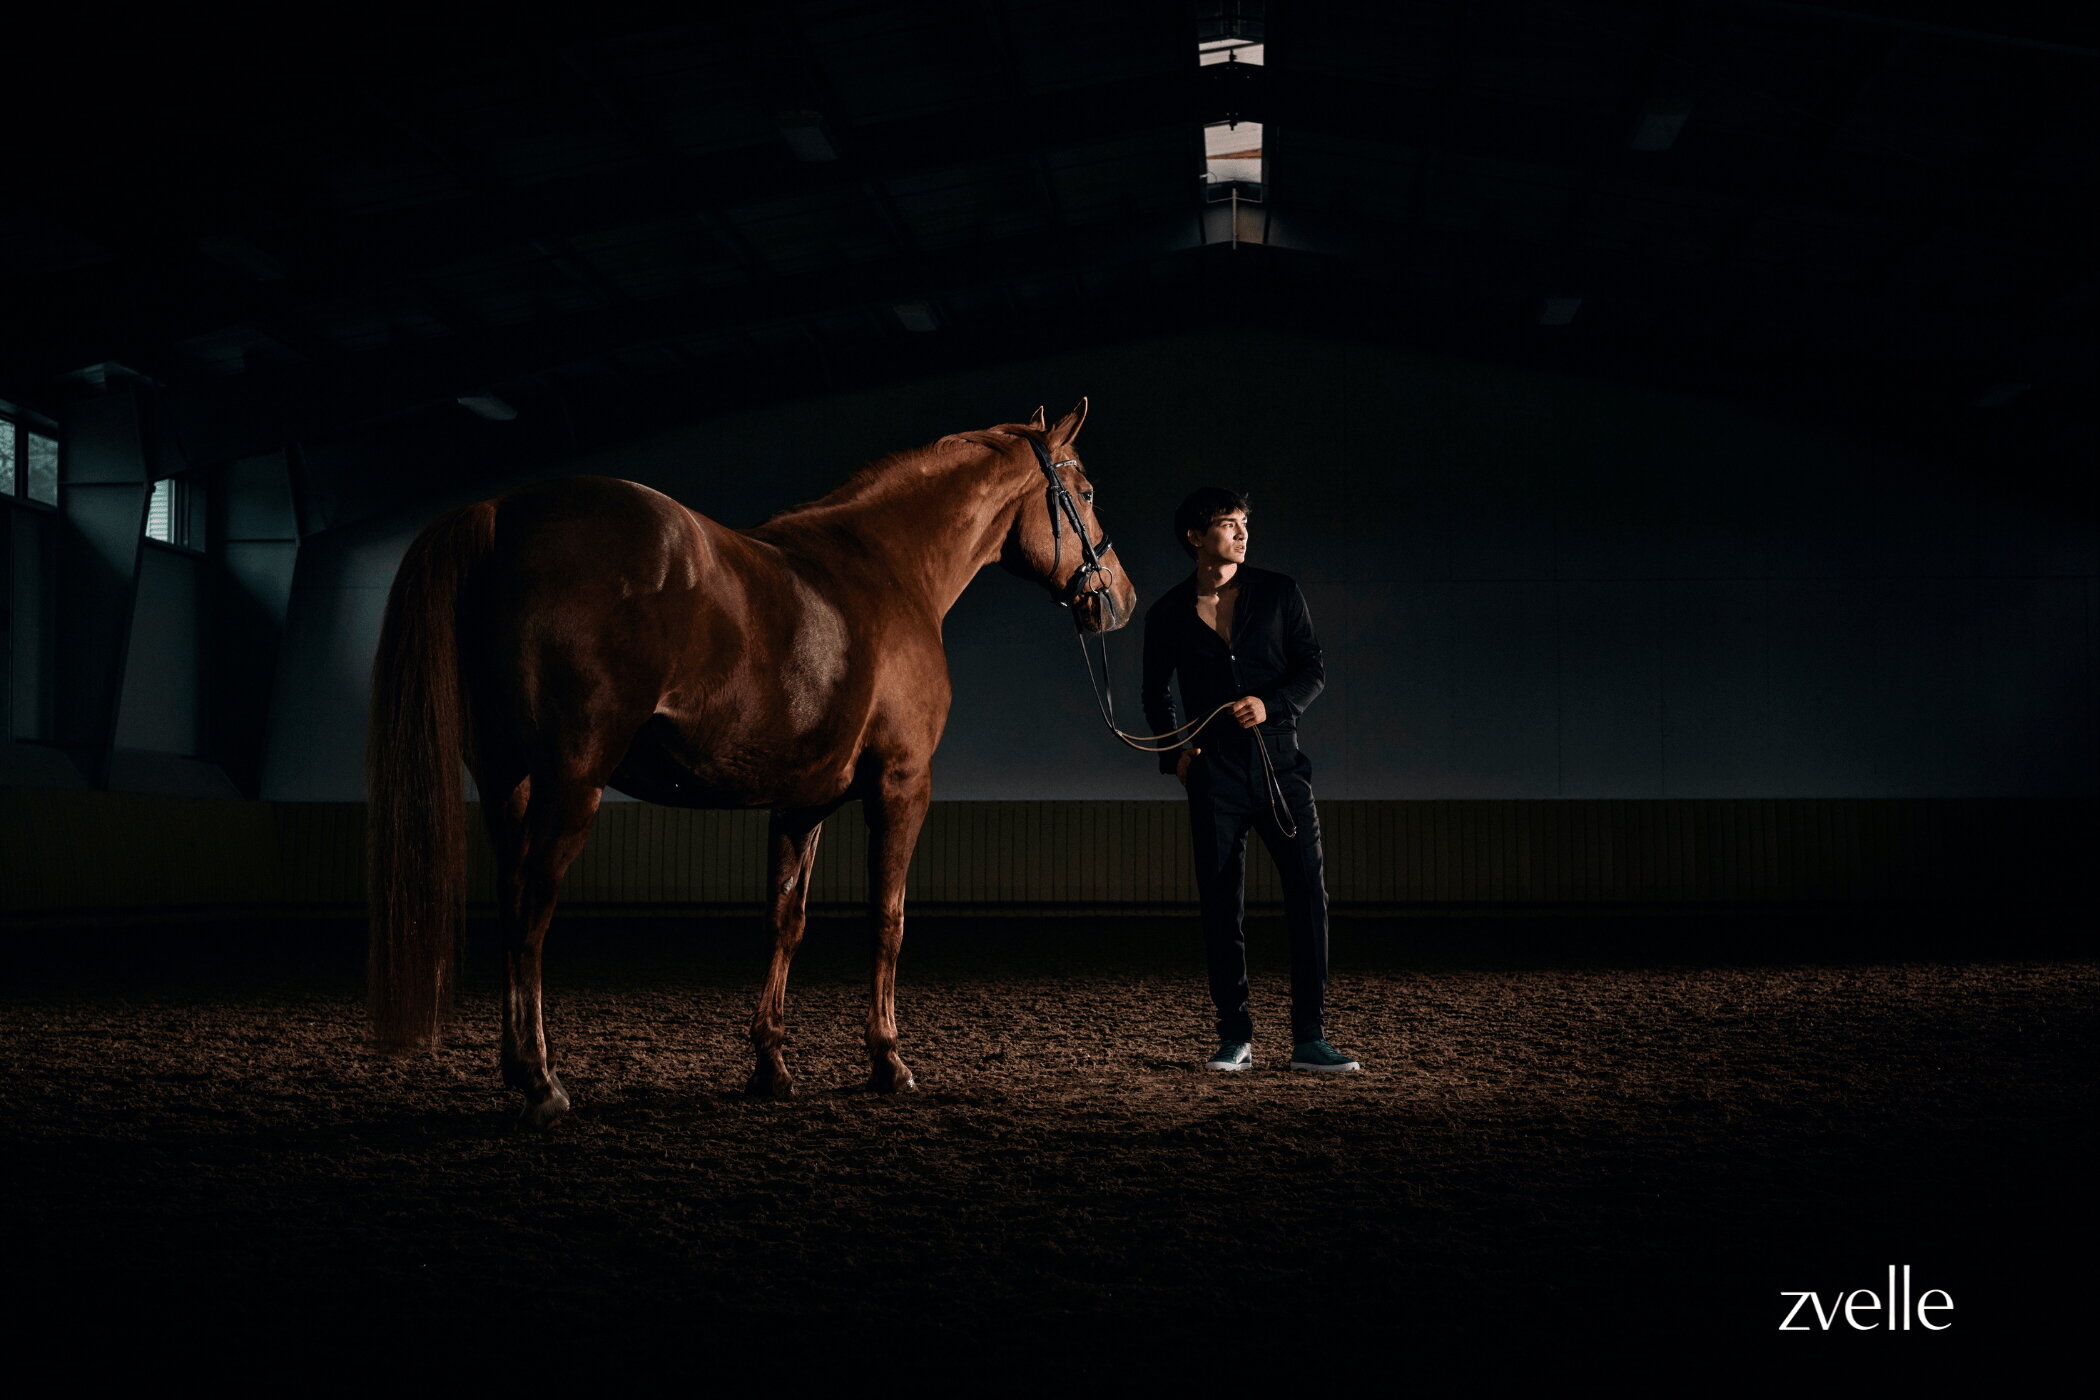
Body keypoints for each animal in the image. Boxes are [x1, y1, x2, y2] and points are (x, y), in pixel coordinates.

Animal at [365, 400, 1134, 1126]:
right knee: (531, 910)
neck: (886, 568)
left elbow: (784, 922)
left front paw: (771, 1065)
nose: (1118, 599)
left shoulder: (801, 802)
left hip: (508, 783)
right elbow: (887, 920)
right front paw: (888, 1061)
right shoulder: (902, 785)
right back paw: (541, 1083)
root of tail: (499, 514)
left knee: (510, 902)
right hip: (570, 783)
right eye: (1087, 491)